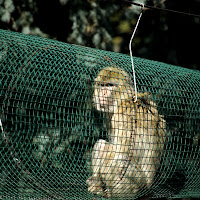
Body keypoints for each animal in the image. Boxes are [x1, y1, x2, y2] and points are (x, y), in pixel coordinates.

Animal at [86, 67, 166, 198]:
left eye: (110, 85)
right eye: (102, 85)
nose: (103, 93)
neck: (123, 99)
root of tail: (148, 189)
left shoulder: (123, 115)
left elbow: (120, 152)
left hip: (137, 186)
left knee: (120, 161)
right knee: (102, 144)